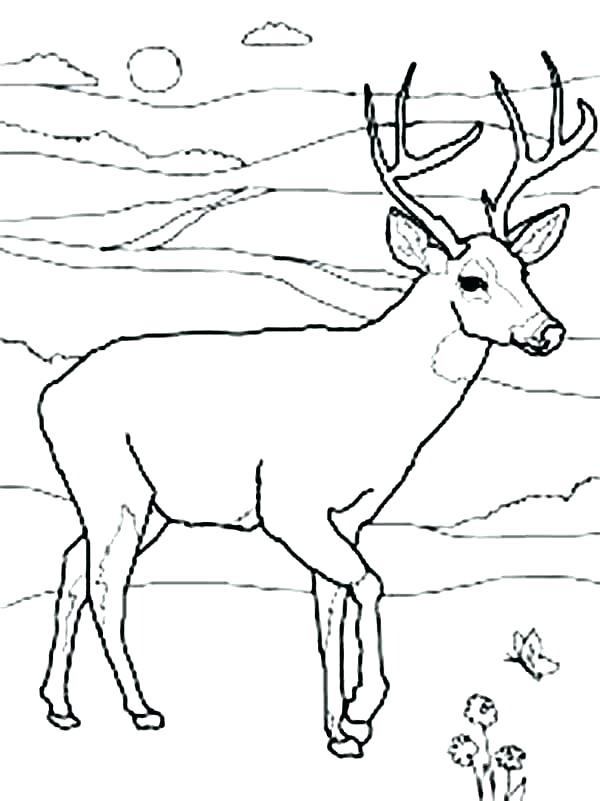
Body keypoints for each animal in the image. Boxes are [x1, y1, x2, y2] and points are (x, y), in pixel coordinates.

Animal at [37, 52, 596, 758]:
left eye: (524, 270)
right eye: (472, 280)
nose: (548, 331)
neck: (377, 397)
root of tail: (50, 396)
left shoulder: (347, 515)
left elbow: (330, 609)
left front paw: (340, 730)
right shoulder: (288, 503)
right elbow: (369, 583)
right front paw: (365, 706)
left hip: (140, 501)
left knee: (70, 567)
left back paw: (60, 707)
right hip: (115, 487)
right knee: (106, 585)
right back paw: (142, 709)